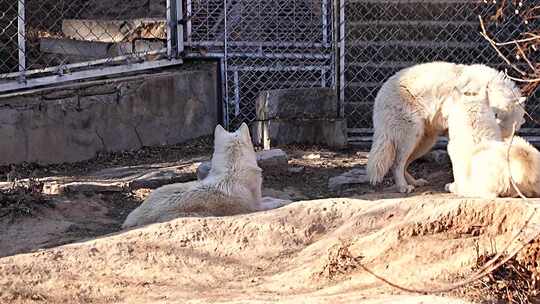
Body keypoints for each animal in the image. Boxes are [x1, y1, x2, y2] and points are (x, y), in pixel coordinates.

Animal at [364, 61, 524, 192]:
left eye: (513, 128)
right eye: (495, 116)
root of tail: (380, 95)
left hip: (425, 142)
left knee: (404, 165)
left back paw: (415, 183)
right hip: (411, 137)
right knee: (397, 164)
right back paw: (403, 187)